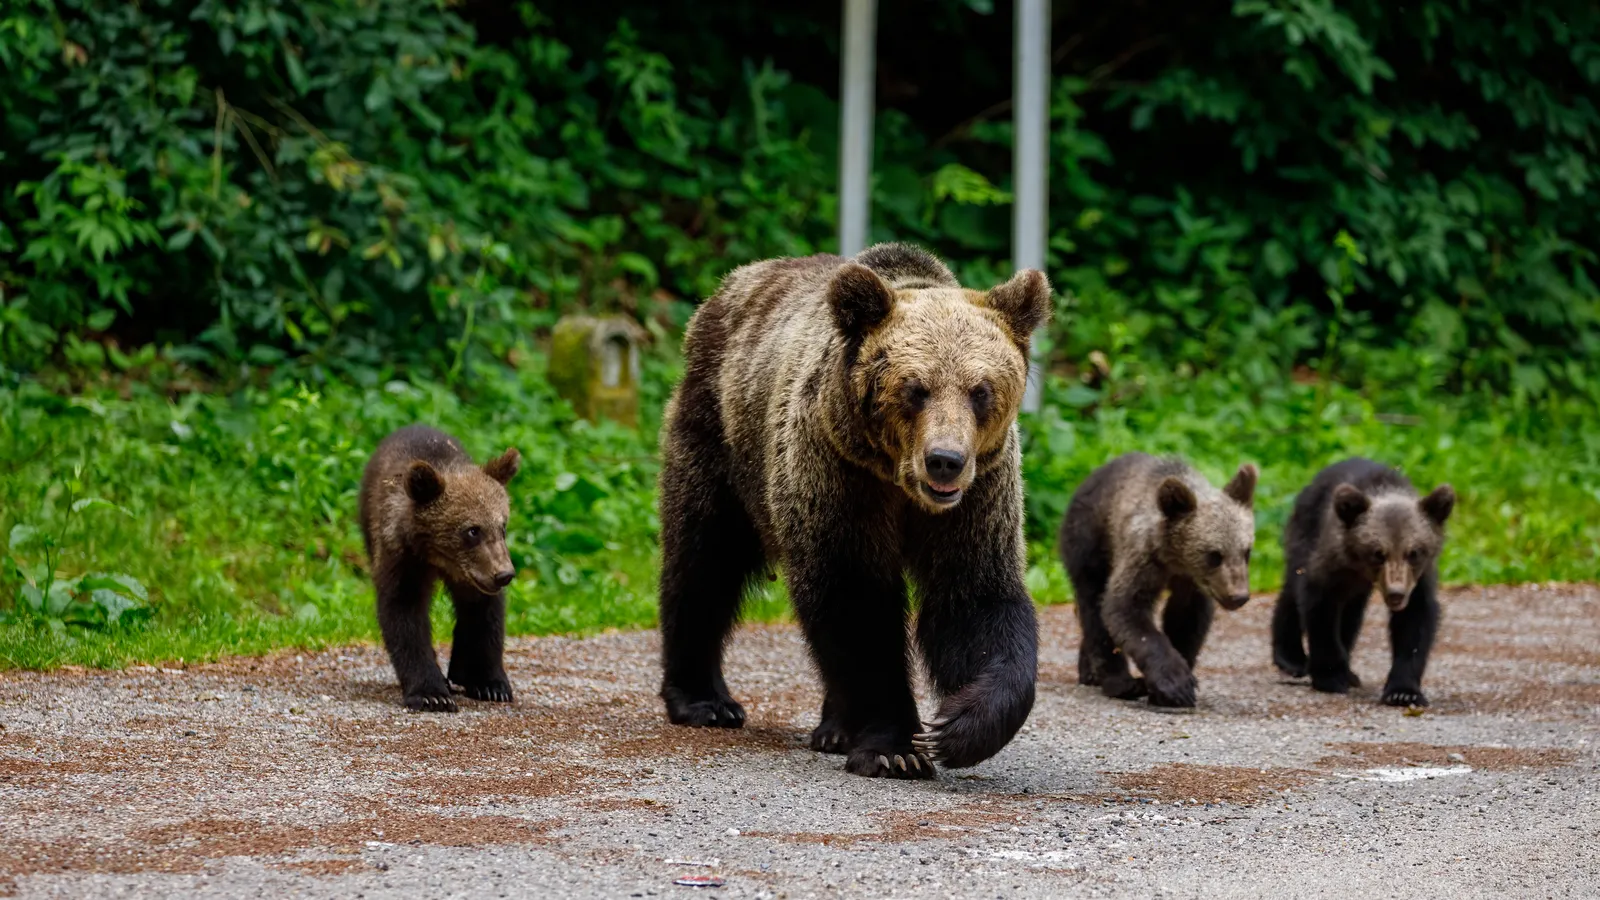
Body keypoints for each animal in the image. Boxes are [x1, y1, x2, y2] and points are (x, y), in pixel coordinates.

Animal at [359, 425, 522, 712]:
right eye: (472, 530)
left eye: (502, 526)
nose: (504, 574)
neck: (439, 557)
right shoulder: (402, 558)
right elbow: (404, 614)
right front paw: (431, 694)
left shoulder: (474, 575)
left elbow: (484, 615)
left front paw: (491, 684)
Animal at [655, 242, 1052, 779]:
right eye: (915, 389)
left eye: (980, 390)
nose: (944, 460)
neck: (901, 484)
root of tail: (729, 287)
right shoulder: (840, 476)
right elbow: (856, 606)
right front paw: (895, 748)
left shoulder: (978, 498)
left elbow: (975, 600)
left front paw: (957, 726)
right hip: (717, 438)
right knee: (704, 559)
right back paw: (704, 699)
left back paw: (834, 727)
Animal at [1059, 453, 1258, 707]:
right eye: (1214, 555)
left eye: (1246, 551)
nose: (1238, 596)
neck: (1176, 560)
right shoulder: (1143, 557)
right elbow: (1125, 608)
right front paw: (1175, 684)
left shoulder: (1190, 582)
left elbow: (1186, 620)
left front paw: (1168, 686)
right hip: (1089, 541)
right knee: (1094, 606)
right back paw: (1120, 682)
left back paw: (1089, 672)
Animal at [1271, 457, 1454, 707]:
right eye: (1378, 553)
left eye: (1414, 552)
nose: (1396, 594)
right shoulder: (1331, 561)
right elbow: (1320, 608)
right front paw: (1331, 677)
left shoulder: (1418, 580)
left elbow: (1414, 624)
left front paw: (1403, 692)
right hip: (1305, 531)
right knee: (1293, 587)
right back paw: (1292, 658)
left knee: (1351, 614)